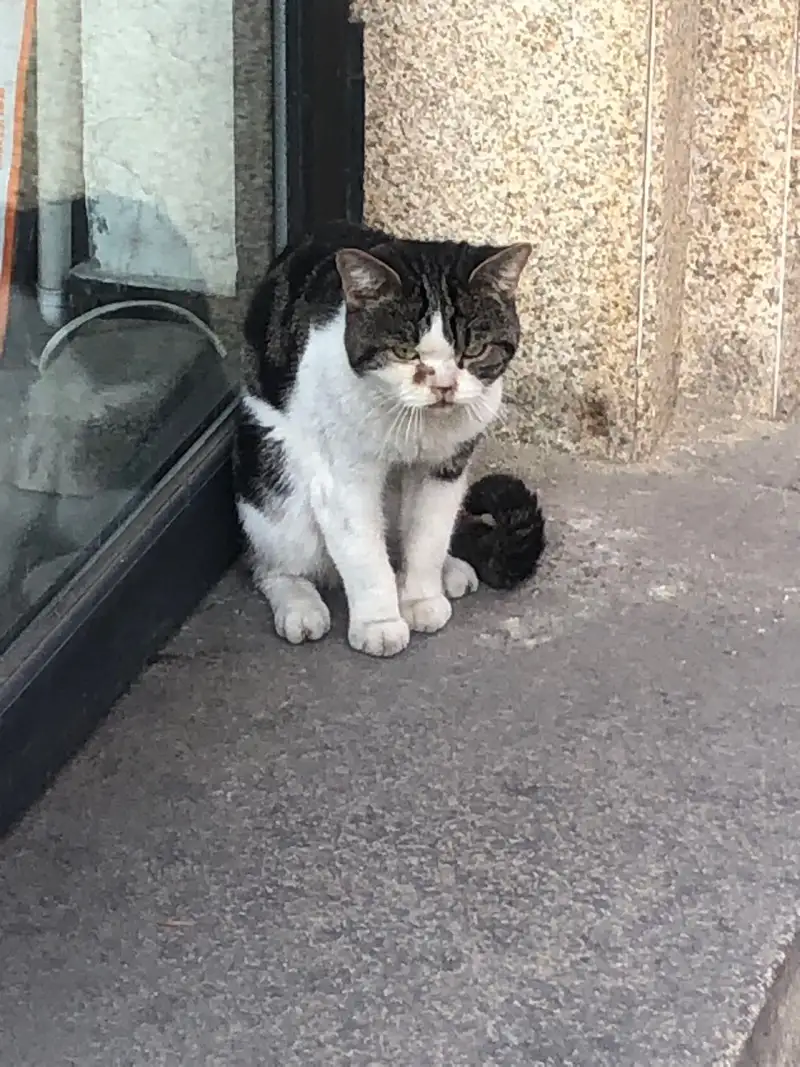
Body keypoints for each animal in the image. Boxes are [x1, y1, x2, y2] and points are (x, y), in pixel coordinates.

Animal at [231, 219, 546, 653]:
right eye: (404, 352)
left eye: (474, 351)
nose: (444, 386)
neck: (417, 427)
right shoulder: (343, 479)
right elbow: (364, 555)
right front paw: (378, 625)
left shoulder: (445, 468)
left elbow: (428, 536)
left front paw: (421, 599)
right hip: (277, 482)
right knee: (272, 564)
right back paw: (300, 606)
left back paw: (446, 570)